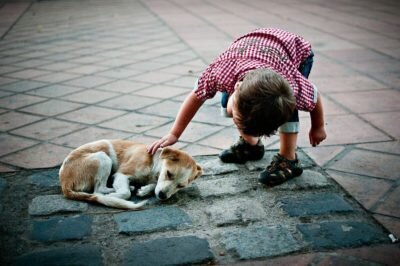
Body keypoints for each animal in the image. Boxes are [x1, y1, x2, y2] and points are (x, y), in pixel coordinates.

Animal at [58, 139, 203, 210]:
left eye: (181, 186)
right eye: (169, 173)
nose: (162, 196)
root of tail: (64, 183)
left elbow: (153, 185)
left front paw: (144, 190)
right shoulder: (121, 174)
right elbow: (125, 193)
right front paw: (115, 196)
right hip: (102, 157)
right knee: (98, 191)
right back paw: (110, 194)